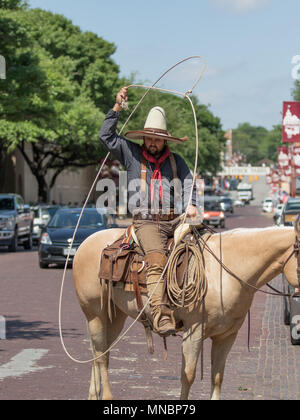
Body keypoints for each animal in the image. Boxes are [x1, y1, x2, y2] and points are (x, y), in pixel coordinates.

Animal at [72, 220, 300, 400]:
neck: (225, 271)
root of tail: (86, 242)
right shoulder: (195, 329)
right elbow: (188, 375)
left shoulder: (227, 335)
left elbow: (217, 377)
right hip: (95, 314)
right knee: (101, 357)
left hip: (114, 317)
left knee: (100, 351)